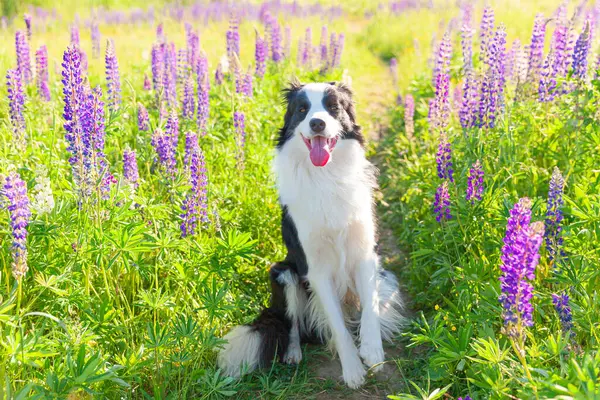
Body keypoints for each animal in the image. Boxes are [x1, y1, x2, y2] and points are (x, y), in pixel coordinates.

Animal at [217, 80, 404, 388]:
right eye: (302, 110)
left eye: (333, 107)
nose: (317, 123)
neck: (327, 176)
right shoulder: (315, 268)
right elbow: (337, 326)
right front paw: (352, 370)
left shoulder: (365, 251)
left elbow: (370, 307)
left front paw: (372, 351)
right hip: (283, 272)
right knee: (293, 325)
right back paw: (293, 353)